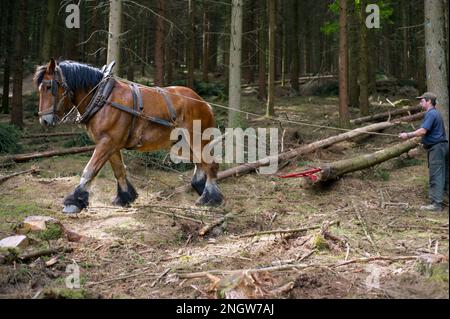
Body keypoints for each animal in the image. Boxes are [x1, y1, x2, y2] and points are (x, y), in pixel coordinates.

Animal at [33, 60, 223, 215]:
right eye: (40, 88)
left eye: (49, 87)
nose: (44, 120)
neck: (102, 97)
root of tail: (204, 103)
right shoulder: (111, 144)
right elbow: (119, 171)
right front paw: (124, 197)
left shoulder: (107, 142)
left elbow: (89, 170)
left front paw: (73, 202)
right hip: (183, 144)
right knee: (201, 164)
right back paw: (201, 189)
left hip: (197, 140)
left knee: (210, 165)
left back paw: (209, 198)